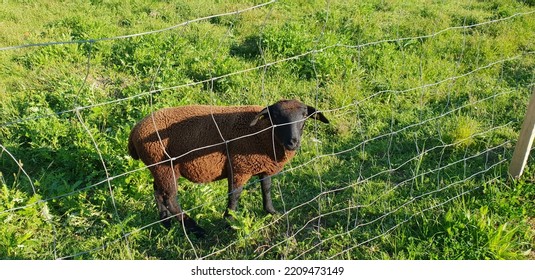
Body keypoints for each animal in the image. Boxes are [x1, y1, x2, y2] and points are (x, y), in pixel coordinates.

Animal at [130, 99, 330, 237]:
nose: (293, 142)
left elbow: (266, 188)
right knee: (170, 198)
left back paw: (165, 222)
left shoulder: (263, 166)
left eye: (304, 116)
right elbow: (234, 196)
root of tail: (133, 133)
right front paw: (230, 222)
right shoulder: (239, 167)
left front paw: (271, 212)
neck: (261, 134)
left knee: (158, 192)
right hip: (164, 166)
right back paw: (196, 229)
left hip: (159, 168)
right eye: (275, 117)